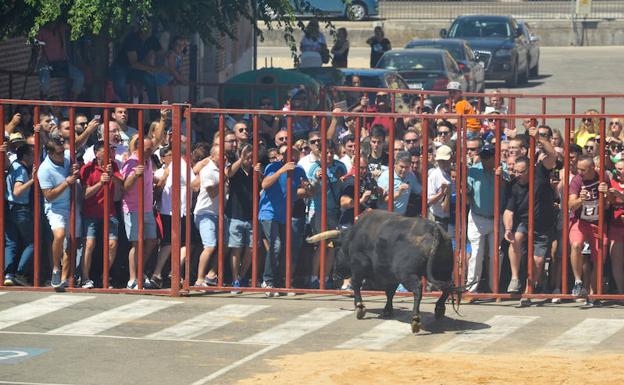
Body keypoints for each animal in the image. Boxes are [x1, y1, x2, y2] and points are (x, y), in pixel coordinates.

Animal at [308, 208, 458, 332]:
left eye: (337, 252)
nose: (334, 276)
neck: (352, 238)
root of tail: (434, 229)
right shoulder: (389, 275)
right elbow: (390, 292)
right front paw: (387, 310)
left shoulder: (359, 266)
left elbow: (356, 284)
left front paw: (360, 307)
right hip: (442, 271)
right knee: (448, 286)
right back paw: (439, 309)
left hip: (407, 274)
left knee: (418, 289)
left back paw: (415, 319)